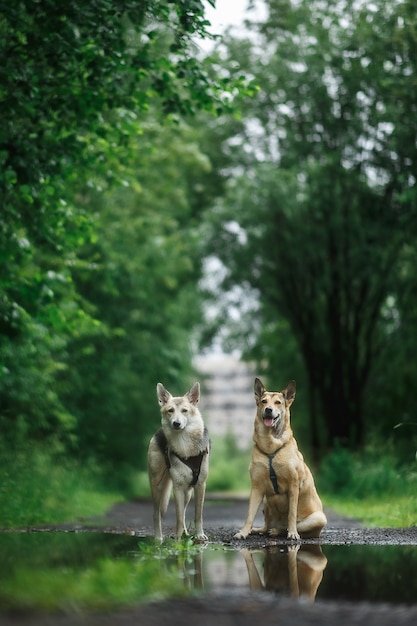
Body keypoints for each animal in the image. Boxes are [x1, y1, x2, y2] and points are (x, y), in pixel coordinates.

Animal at [148, 380, 210, 540]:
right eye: (170, 410)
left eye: (184, 411)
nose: (176, 423)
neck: (185, 445)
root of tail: (158, 432)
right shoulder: (177, 487)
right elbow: (178, 517)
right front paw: (178, 538)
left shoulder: (200, 485)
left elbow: (197, 515)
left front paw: (199, 535)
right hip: (157, 486)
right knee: (156, 514)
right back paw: (158, 538)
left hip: (187, 492)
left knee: (183, 514)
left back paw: (186, 533)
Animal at [234, 378, 324, 540]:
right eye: (263, 401)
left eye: (278, 402)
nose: (268, 410)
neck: (270, 447)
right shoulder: (256, 487)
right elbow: (250, 514)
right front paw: (243, 532)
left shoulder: (294, 485)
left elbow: (292, 514)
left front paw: (293, 533)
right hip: (266, 502)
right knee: (267, 525)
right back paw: (260, 530)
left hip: (319, 518)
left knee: (293, 527)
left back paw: (280, 531)